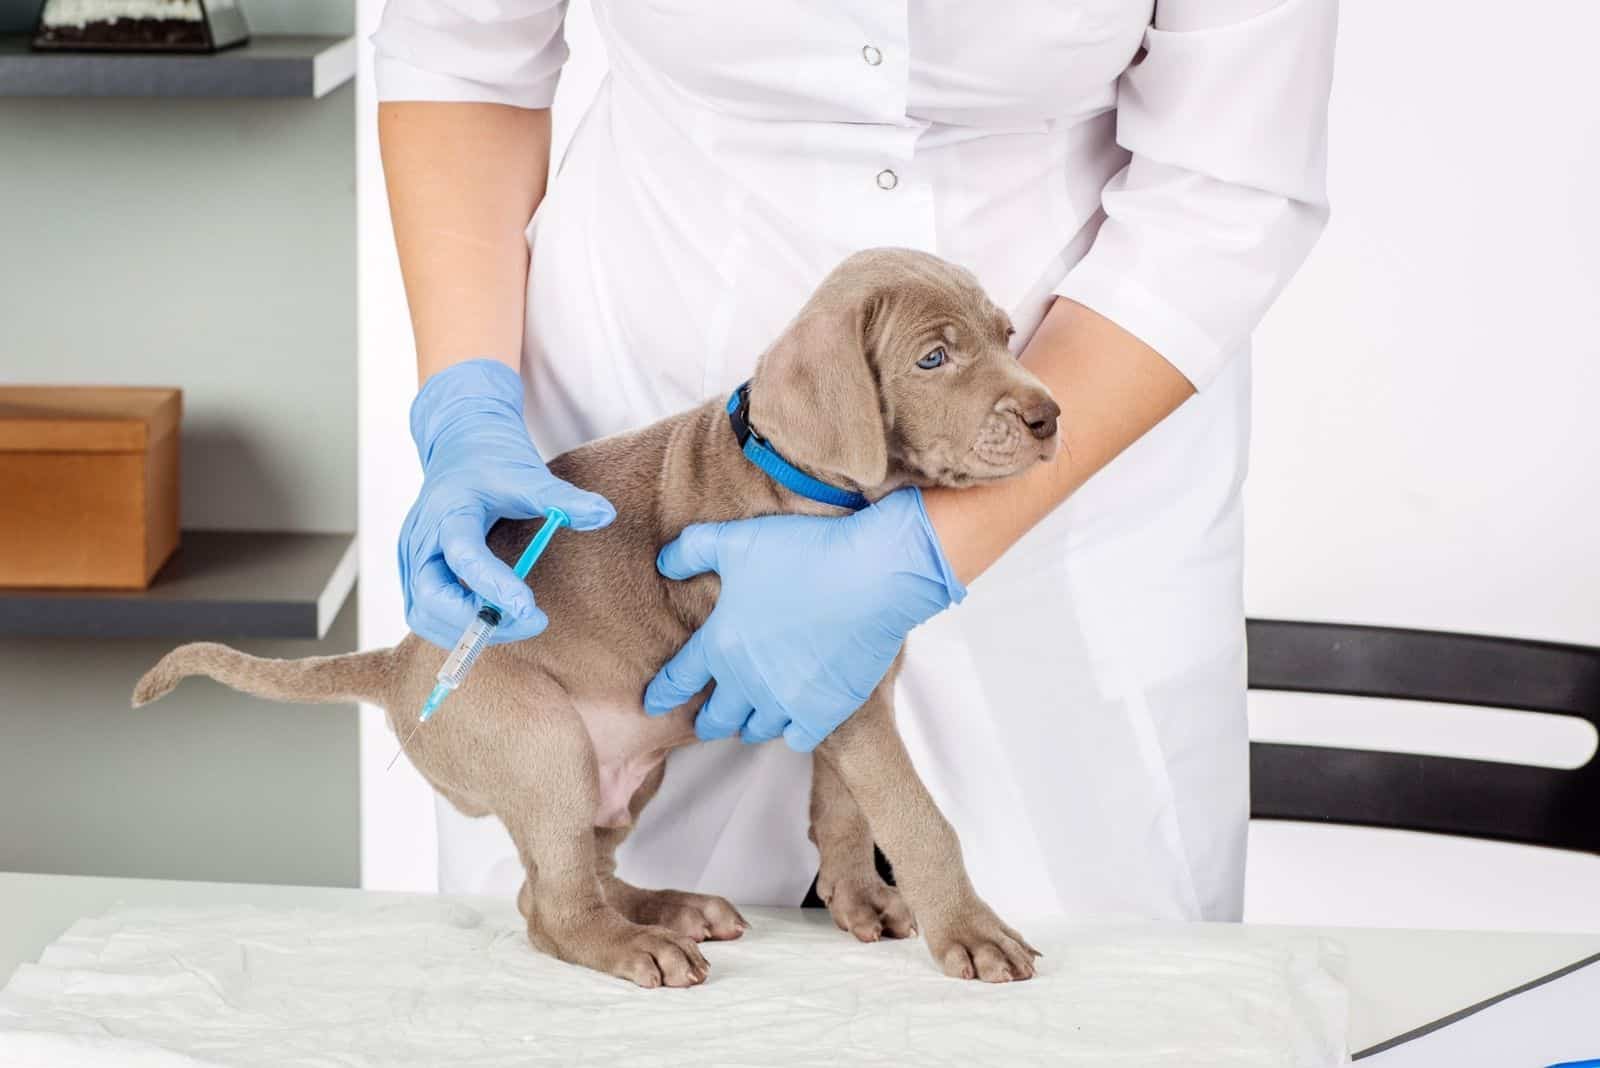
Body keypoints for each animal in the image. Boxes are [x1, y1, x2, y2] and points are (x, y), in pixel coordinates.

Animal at [134, 246, 1062, 991]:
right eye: (934, 357)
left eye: (1008, 334)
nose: (1050, 415)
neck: (812, 484)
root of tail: (401, 661)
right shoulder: (847, 699)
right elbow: (914, 812)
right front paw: (972, 931)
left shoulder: (845, 671)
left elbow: (847, 805)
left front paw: (861, 894)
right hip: (541, 743)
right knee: (551, 906)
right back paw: (634, 944)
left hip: (622, 772)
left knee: (563, 872)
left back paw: (668, 909)